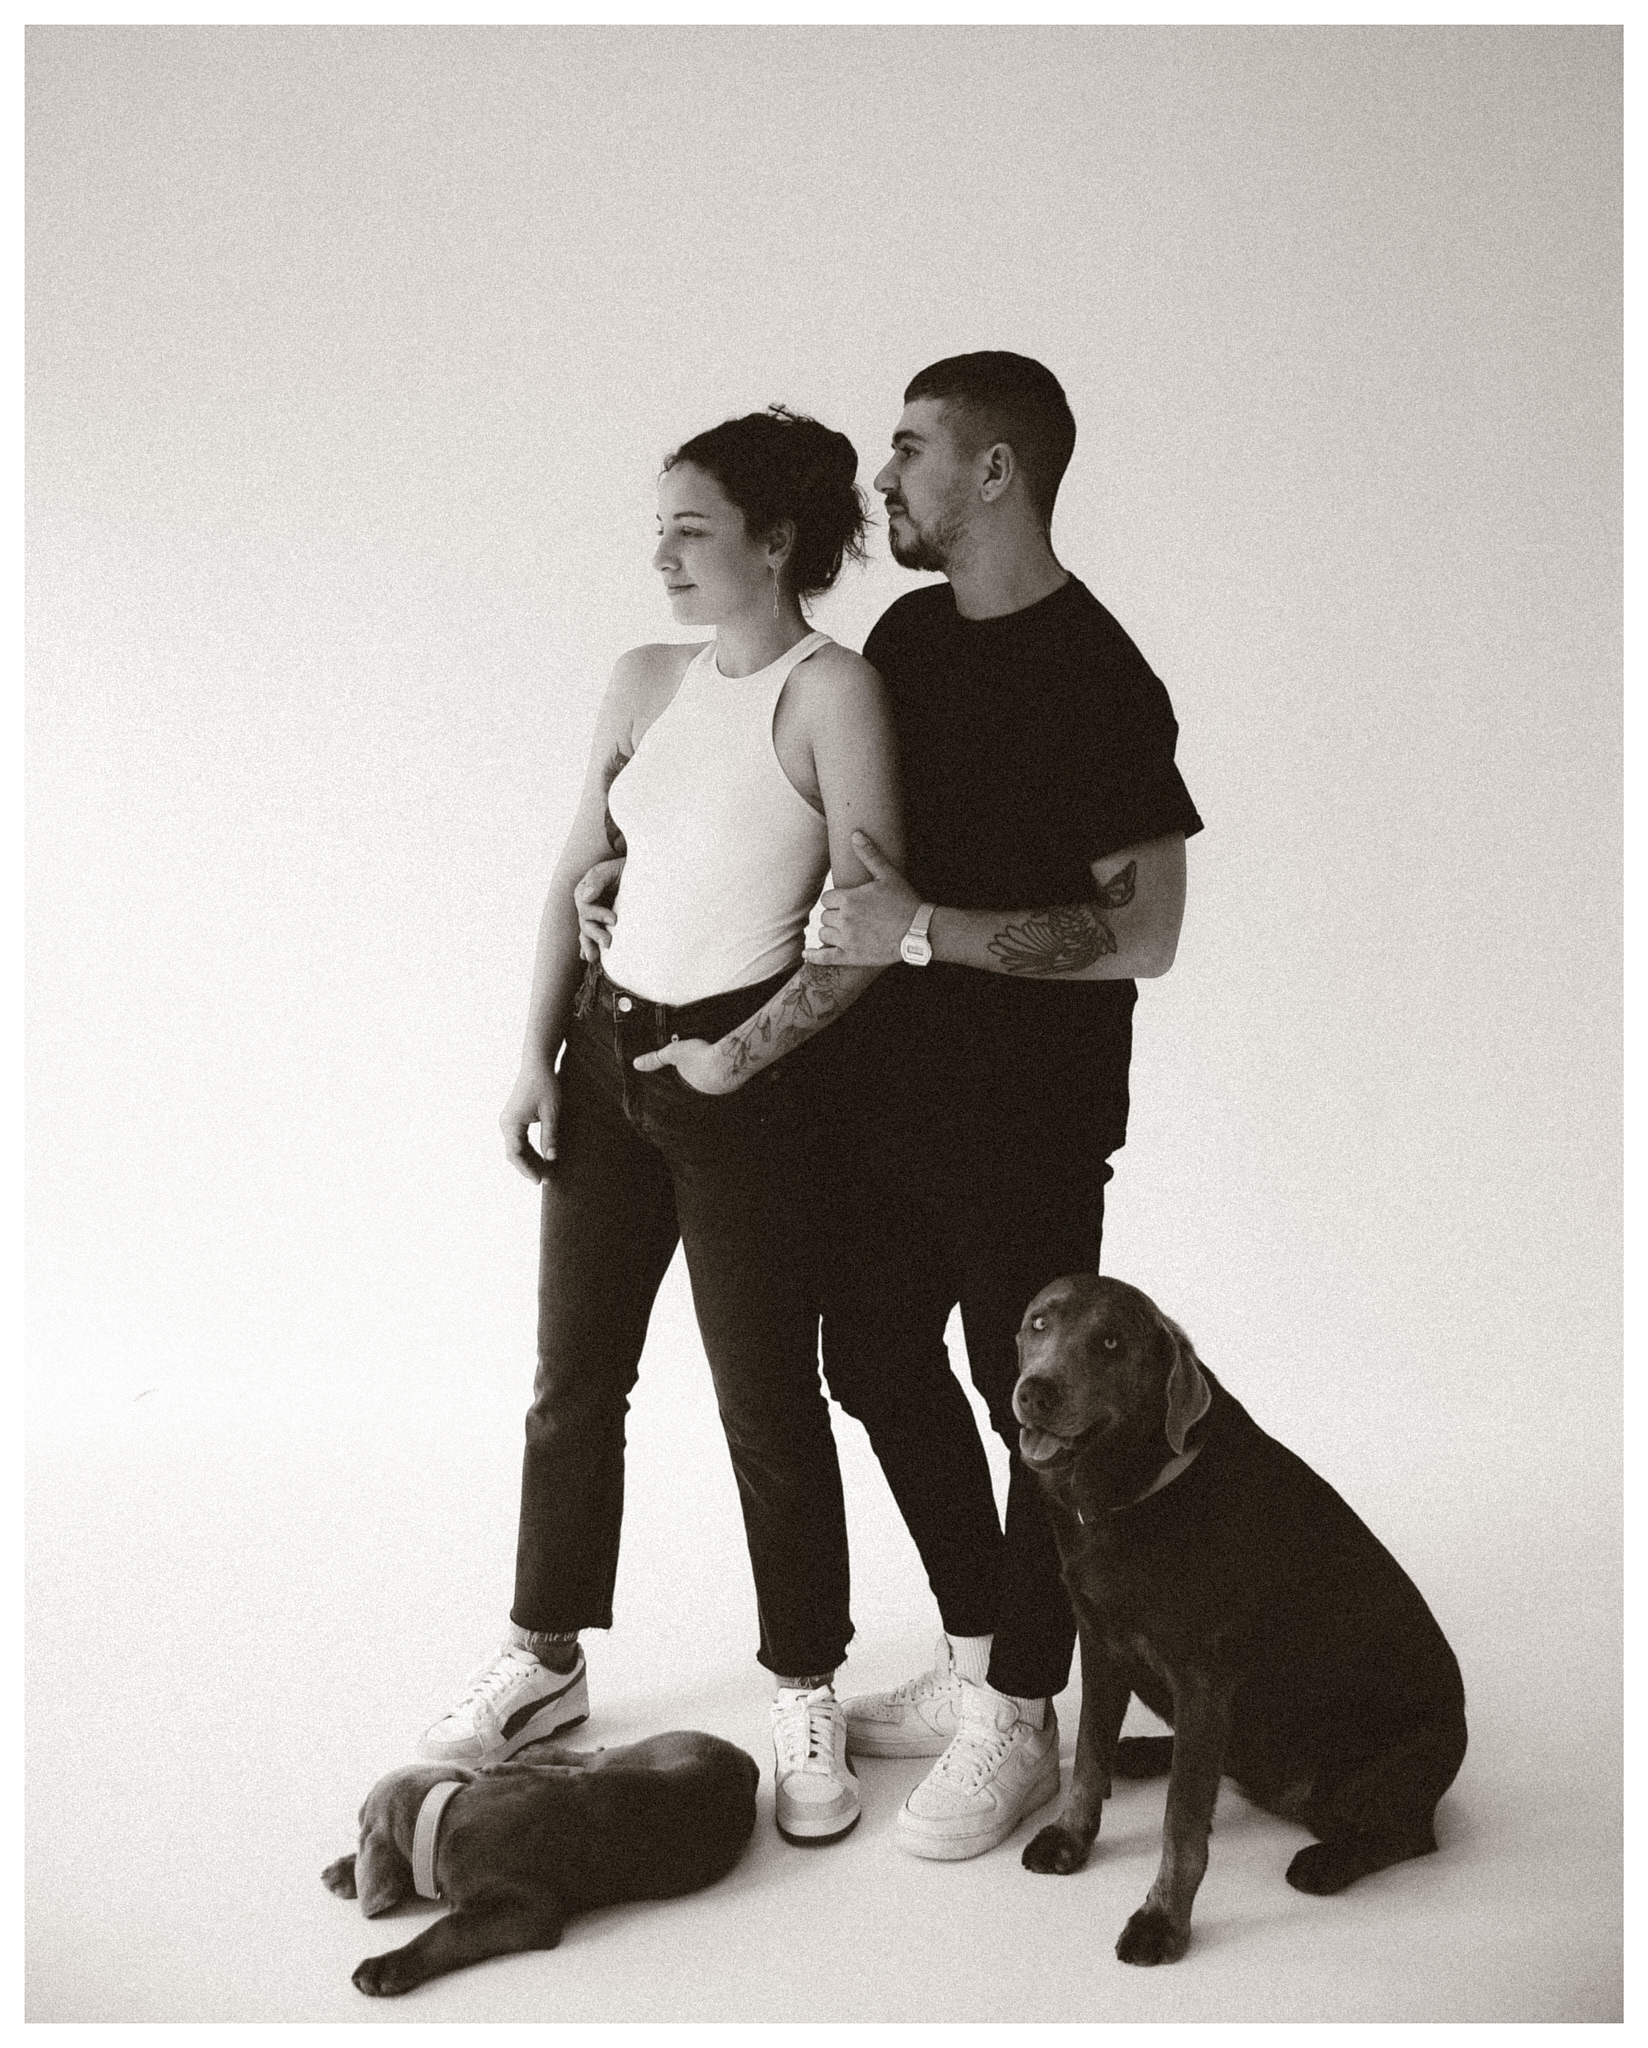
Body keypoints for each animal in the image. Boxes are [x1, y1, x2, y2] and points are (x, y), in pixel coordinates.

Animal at [322, 1730, 760, 1995]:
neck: (442, 1818)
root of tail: (746, 1760)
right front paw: (345, 1871)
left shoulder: (526, 1913)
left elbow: (445, 1931)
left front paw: (385, 1969)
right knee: (576, 1762)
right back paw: (513, 1761)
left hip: (637, 1755)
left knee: (587, 1759)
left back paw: (519, 1759)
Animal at [1012, 1274, 1467, 1966]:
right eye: (1039, 1323)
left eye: (1111, 1342)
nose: (1034, 1392)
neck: (1132, 1498)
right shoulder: (1100, 1641)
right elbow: (1089, 1752)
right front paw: (1070, 1836)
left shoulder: (1204, 1678)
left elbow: (1181, 1820)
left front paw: (1162, 1921)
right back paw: (1142, 1751)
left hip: (1369, 1772)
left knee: (1412, 1835)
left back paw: (1327, 1862)